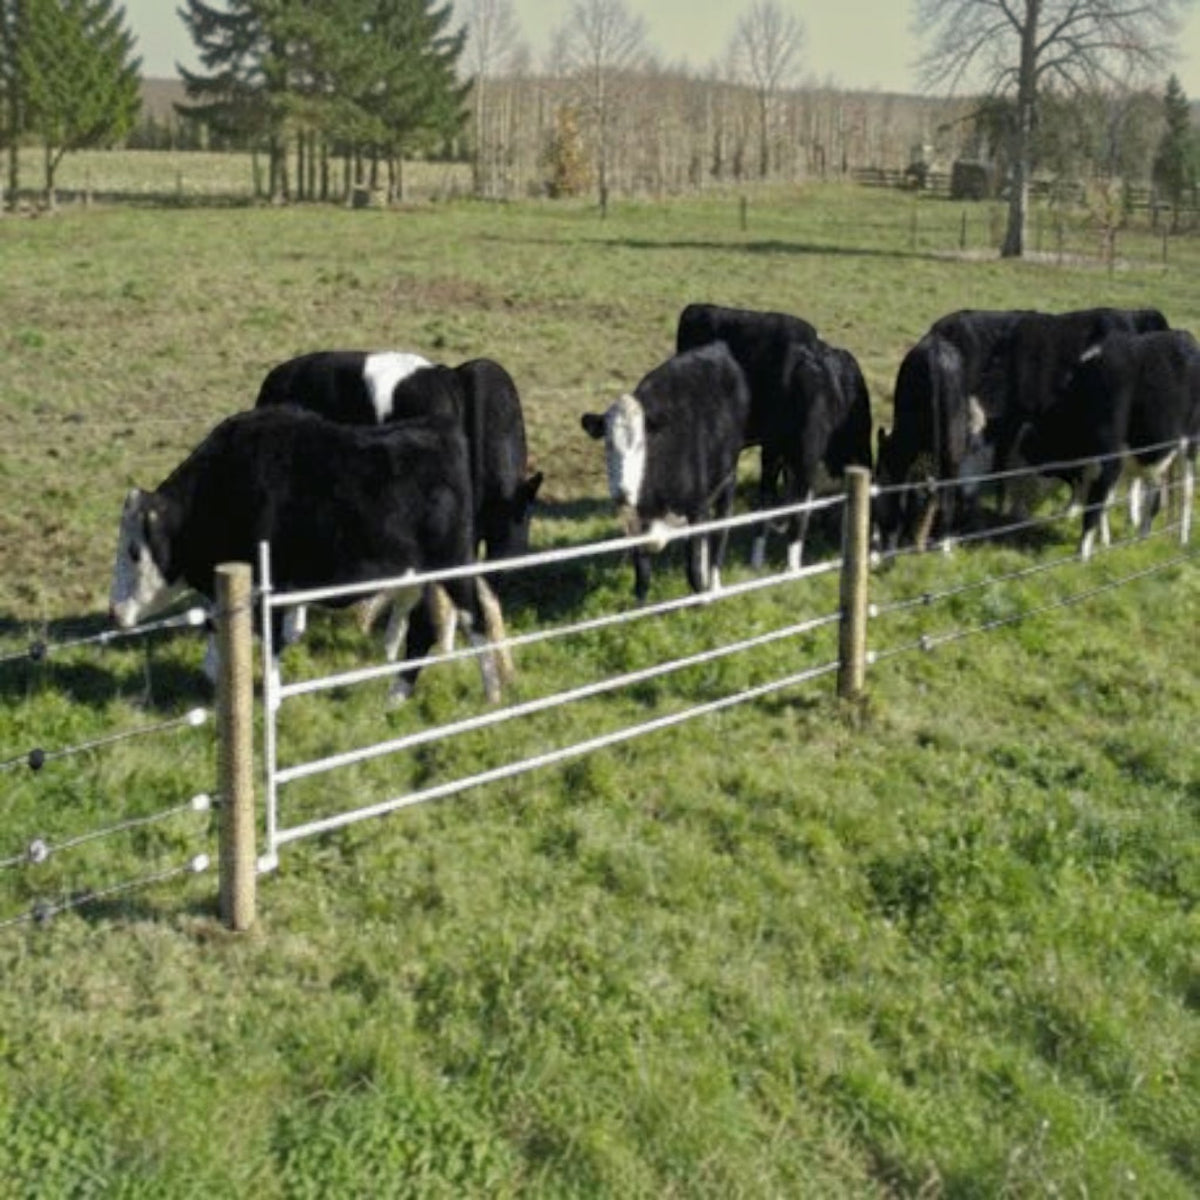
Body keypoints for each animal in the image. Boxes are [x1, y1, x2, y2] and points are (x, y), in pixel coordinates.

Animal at [108, 406, 510, 705]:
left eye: (134, 551)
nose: (114, 612)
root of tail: (439, 430)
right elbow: (216, 623)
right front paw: (214, 674)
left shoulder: (271, 585)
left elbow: (270, 640)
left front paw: (269, 697)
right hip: (421, 577)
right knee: (423, 628)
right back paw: (397, 695)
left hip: (452, 568)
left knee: (472, 618)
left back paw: (489, 693)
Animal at [580, 342, 751, 602]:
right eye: (608, 443)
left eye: (641, 444)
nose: (622, 493)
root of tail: (717, 347)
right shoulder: (636, 521)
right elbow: (642, 575)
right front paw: (641, 608)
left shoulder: (698, 508)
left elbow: (693, 568)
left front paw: (700, 601)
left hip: (728, 475)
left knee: (720, 530)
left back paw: (714, 585)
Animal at [759, 337, 873, 569]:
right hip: (805, 460)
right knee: (796, 512)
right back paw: (793, 570)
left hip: (771, 454)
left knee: (764, 499)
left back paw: (756, 562)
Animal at [1016, 328, 1200, 561]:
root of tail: (1185, 336)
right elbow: (1101, 501)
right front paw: (1104, 542)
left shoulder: (1110, 459)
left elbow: (1094, 507)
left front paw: (1082, 554)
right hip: (1152, 455)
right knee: (1155, 493)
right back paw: (1141, 537)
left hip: (1188, 445)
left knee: (1186, 491)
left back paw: (1182, 540)